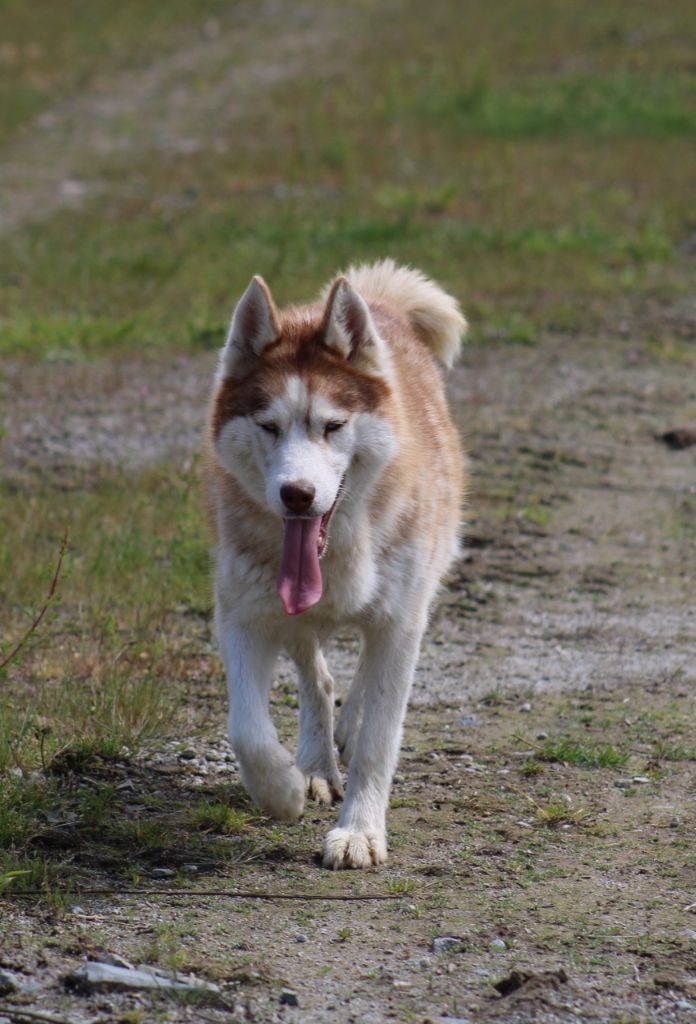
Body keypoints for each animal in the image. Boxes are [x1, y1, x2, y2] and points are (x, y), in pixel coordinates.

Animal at [202, 260, 466, 868]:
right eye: (269, 426)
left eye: (333, 426)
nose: (297, 494)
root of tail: (377, 298)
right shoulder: (243, 615)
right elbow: (247, 730)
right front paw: (282, 789)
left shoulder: (400, 621)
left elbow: (378, 743)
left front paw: (360, 831)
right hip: (291, 616)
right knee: (316, 678)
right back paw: (317, 763)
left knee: (365, 682)